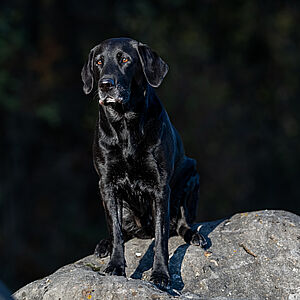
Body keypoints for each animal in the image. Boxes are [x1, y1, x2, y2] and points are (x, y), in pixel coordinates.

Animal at [81, 37, 205, 286]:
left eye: (125, 60)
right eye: (99, 62)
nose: (105, 85)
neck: (125, 124)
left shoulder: (160, 187)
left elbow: (161, 238)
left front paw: (161, 274)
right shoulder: (107, 183)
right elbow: (116, 230)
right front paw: (115, 265)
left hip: (191, 171)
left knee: (182, 224)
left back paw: (194, 235)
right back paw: (104, 244)